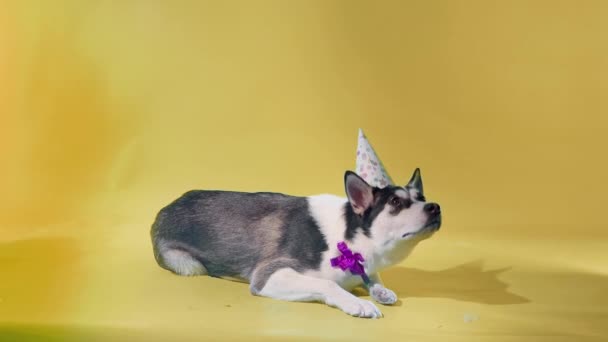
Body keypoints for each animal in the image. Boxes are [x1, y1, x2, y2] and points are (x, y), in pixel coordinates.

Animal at [150, 168, 440, 318]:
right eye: (396, 203)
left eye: (422, 198)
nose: (435, 207)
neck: (349, 238)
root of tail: (166, 207)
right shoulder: (269, 275)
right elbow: (327, 284)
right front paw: (357, 302)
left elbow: (374, 279)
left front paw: (380, 291)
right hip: (188, 264)